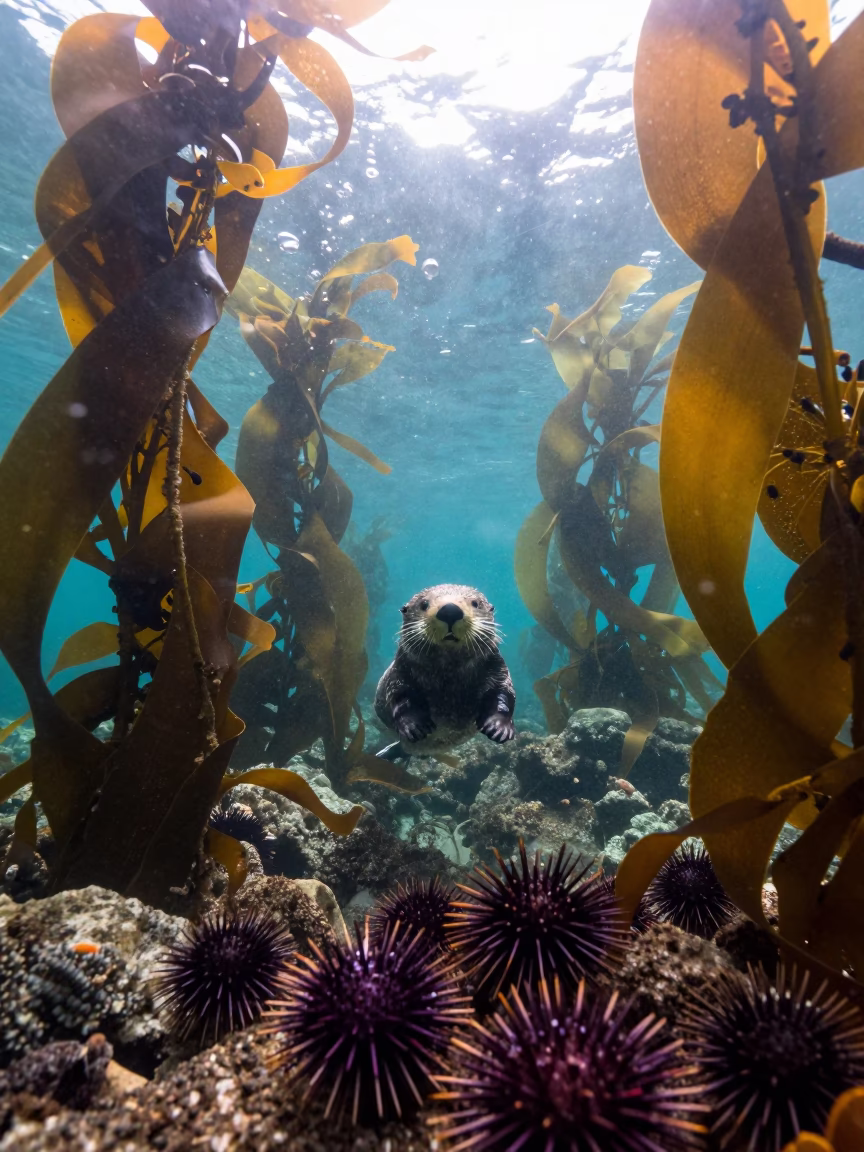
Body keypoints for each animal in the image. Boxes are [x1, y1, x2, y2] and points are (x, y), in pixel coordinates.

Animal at [374, 584, 516, 758]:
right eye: (424, 604)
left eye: (475, 603)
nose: (449, 610)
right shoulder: (400, 671)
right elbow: (400, 697)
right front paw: (414, 727)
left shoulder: (496, 668)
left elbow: (502, 693)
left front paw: (498, 728)